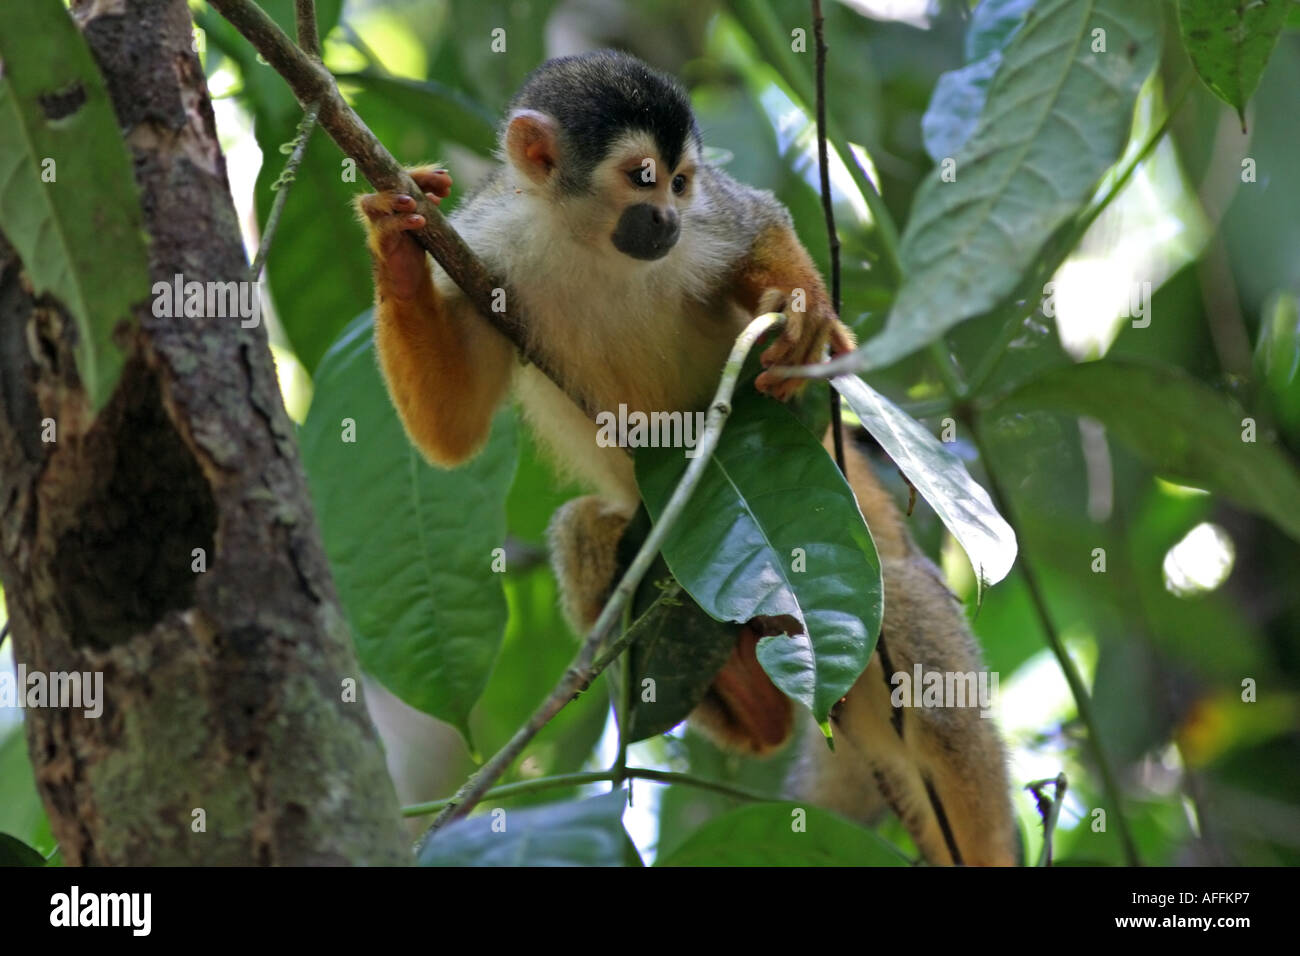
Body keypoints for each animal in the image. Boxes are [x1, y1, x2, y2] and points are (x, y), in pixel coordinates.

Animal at [356, 50, 1013, 868]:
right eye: (642, 177)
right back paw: (754, 704)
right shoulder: (486, 244)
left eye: (681, 181)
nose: (667, 219)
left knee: (915, 637)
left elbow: (760, 219)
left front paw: (804, 308)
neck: (590, 243)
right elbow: (452, 431)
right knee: (583, 529)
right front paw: (394, 247)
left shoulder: (710, 219)